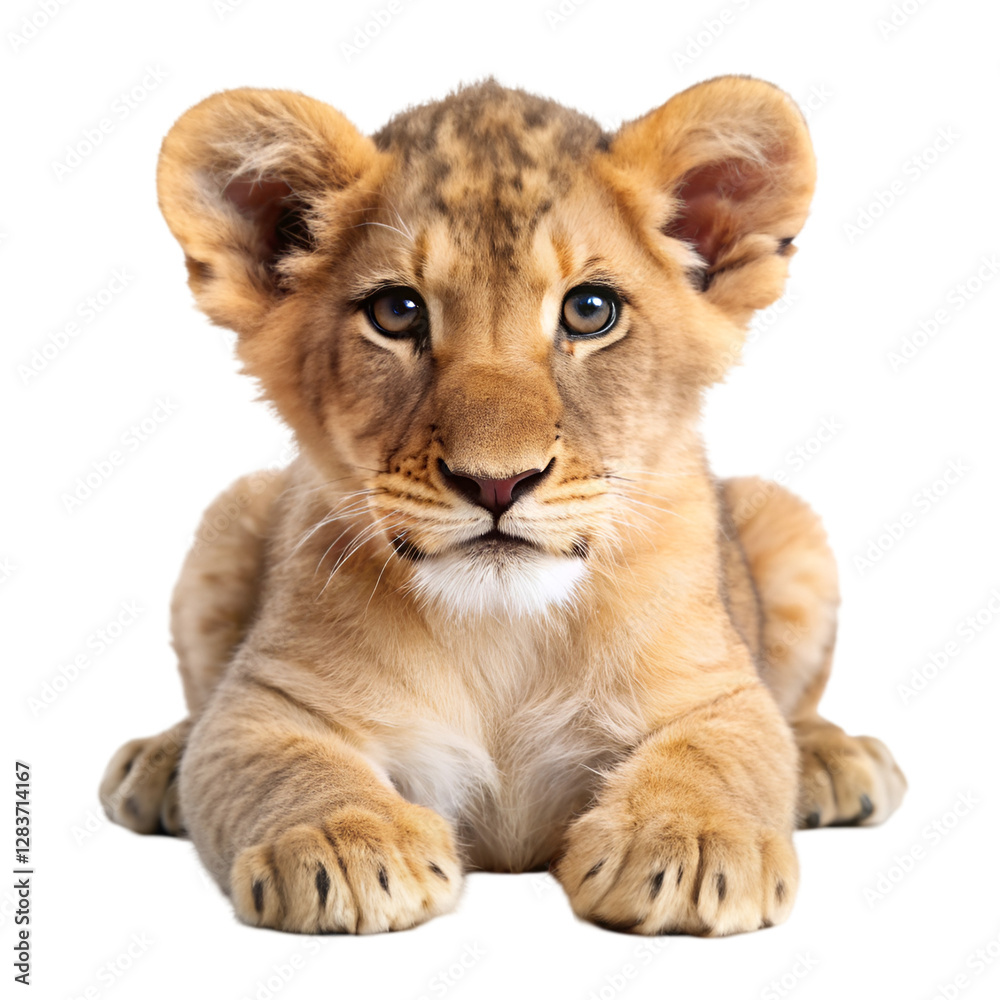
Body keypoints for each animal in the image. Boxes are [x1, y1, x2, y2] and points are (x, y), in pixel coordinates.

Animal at [99, 76, 906, 936]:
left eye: (590, 311)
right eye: (397, 312)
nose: (496, 483)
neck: (503, 637)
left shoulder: (720, 688)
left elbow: (722, 752)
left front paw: (687, 843)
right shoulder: (264, 702)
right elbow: (275, 761)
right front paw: (344, 844)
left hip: (785, 518)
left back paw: (836, 760)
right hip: (229, 517)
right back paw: (156, 762)